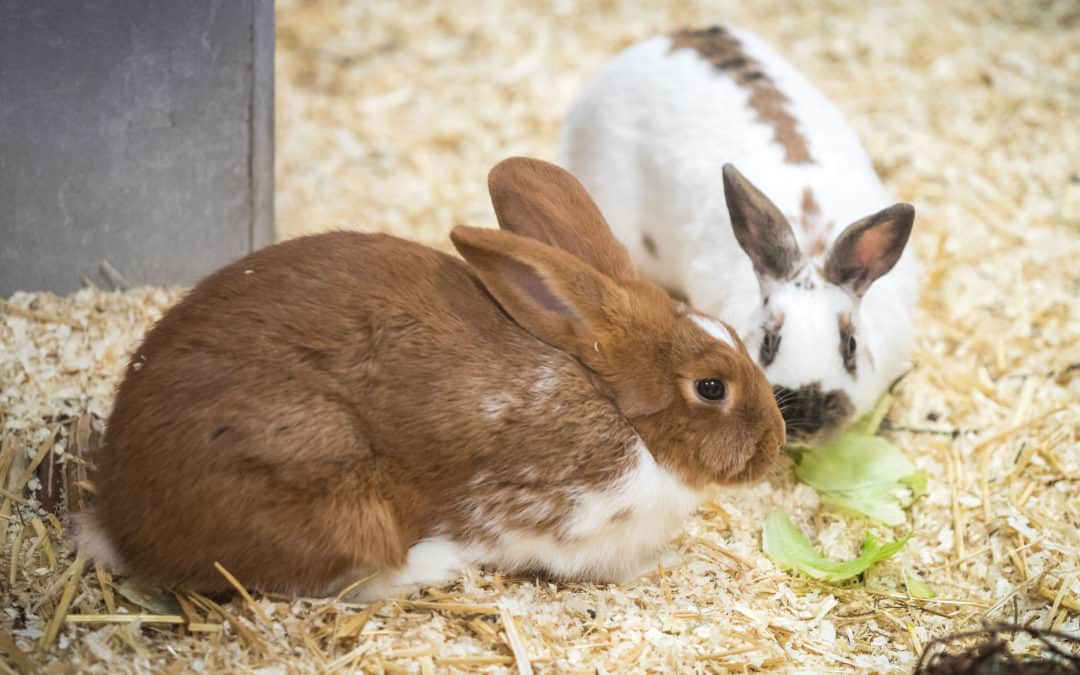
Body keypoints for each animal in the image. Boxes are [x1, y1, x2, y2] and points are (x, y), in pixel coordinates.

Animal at [78, 156, 786, 596]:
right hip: (331, 492)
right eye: (712, 387)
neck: (616, 408)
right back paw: (432, 567)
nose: (775, 446)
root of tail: (121, 520)